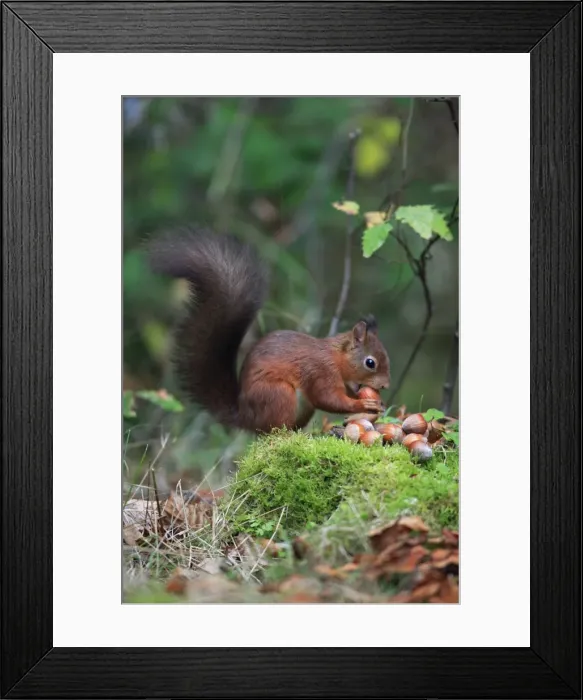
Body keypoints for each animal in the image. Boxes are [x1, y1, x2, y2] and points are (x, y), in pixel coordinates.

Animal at [149, 228, 390, 433]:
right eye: (370, 363)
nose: (385, 385)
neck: (337, 358)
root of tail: (246, 418)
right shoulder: (321, 372)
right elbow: (328, 399)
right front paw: (363, 403)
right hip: (278, 394)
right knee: (273, 431)